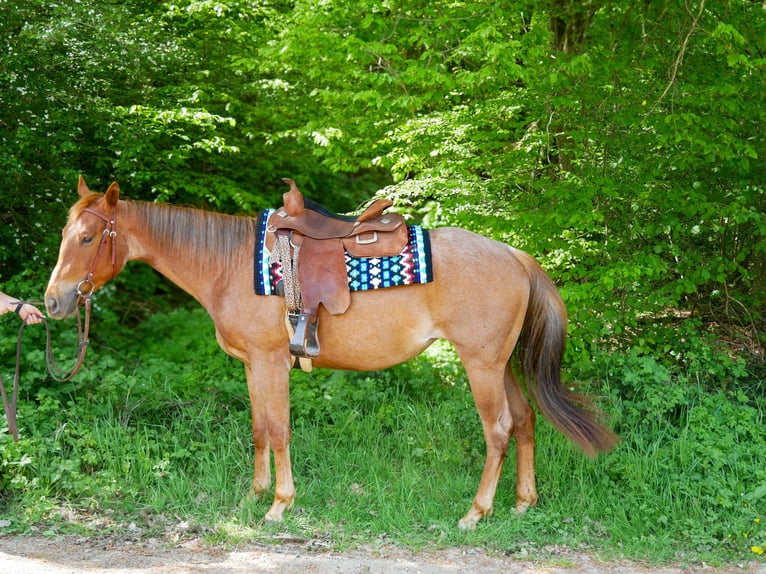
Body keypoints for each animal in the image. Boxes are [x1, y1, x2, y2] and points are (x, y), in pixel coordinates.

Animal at [45, 176, 618, 529]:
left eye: (89, 237)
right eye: (65, 234)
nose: (53, 301)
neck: (230, 265)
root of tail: (517, 255)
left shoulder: (271, 362)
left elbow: (279, 431)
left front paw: (279, 505)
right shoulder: (253, 366)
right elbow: (260, 429)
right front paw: (253, 497)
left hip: (480, 365)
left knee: (497, 431)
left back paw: (476, 513)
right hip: (501, 365)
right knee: (524, 422)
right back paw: (522, 504)